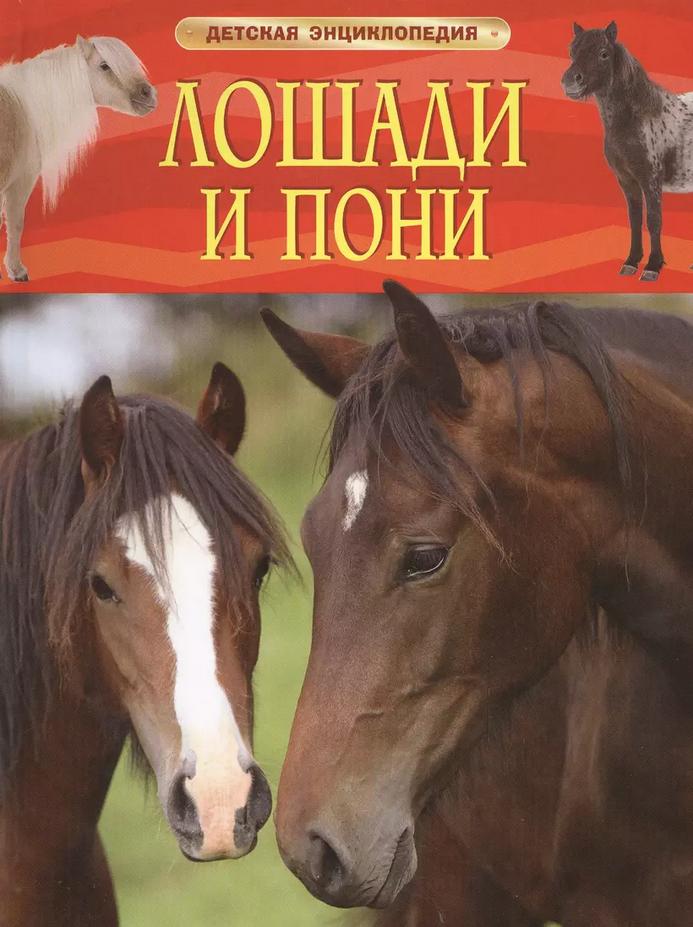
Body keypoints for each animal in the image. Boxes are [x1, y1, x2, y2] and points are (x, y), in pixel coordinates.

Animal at [0, 36, 157, 283]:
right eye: (105, 65)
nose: (149, 94)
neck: (23, 108)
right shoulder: (20, 181)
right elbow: (16, 223)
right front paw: (17, 271)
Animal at [561, 21, 693, 282]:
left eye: (603, 54)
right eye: (572, 52)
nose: (571, 82)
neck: (637, 118)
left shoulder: (650, 180)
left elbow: (654, 220)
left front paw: (652, 267)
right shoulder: (627, 181)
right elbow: (635, 219)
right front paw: (631, 262)